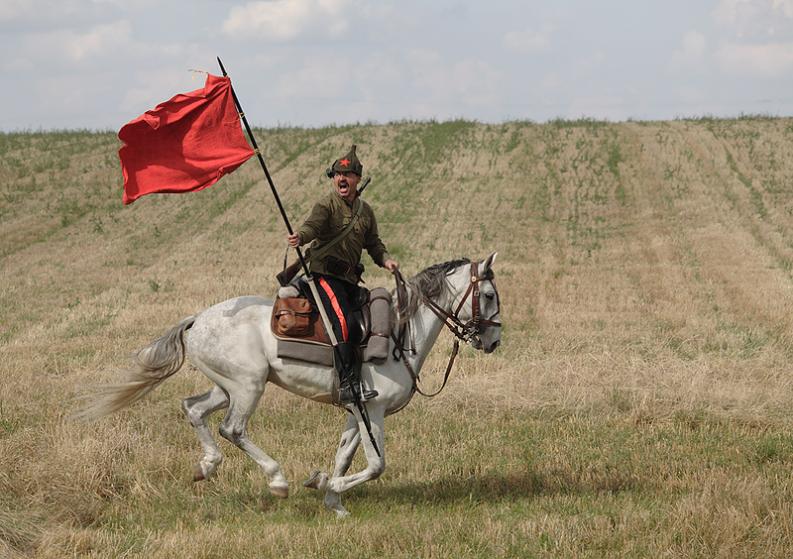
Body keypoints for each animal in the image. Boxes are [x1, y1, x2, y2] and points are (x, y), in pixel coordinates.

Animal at [80, 254, 502, 516]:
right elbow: (376, 464)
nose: (494, 341)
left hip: (227, 387)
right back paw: (277, 480)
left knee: (193, 408)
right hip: (248, 387)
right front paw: (327, 485)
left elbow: (344, 455)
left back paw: (207, 465)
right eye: (488, 295)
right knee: (233, 429)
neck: (401, 332)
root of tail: (197, 319)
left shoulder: (355, 409)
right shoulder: (374, 410)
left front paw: (331, 496)